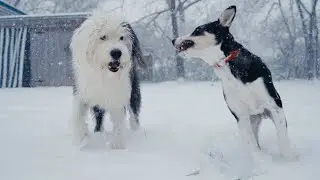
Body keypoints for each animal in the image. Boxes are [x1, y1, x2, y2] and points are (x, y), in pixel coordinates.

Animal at [70, 10, 146, 150]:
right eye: (103, 37)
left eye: (122, 38)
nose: (116, 52)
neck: (104, 75)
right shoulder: (81, 92)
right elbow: (78, 115)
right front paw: (82, 139)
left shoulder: (118, 95)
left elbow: (118, 120)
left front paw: (117, 145)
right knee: (99, 117)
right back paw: (98, 132)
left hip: (134, 91)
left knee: (134, 113)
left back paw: (136, 132)